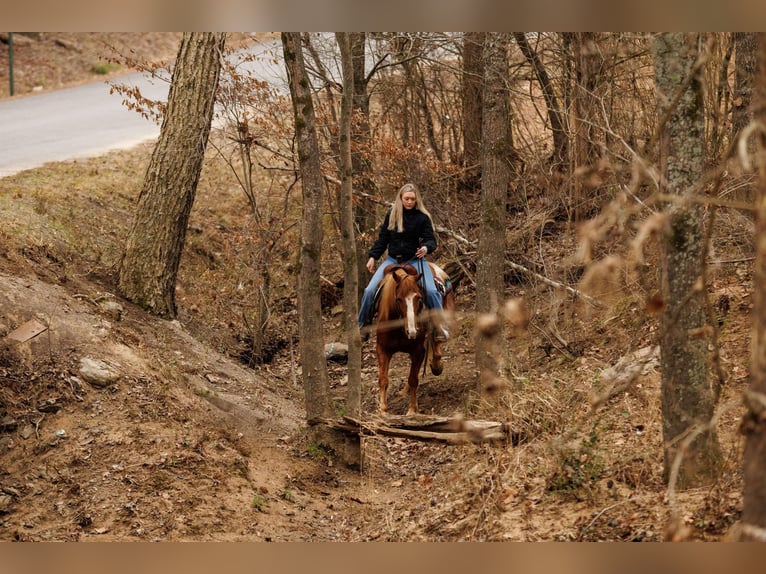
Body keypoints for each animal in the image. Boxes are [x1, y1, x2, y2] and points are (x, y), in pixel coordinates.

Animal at [376, 264, 456, 416]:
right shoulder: (382, 349)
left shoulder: (418, 351)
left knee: (436, 346)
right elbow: (383, 379)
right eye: (398, 299)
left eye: (419, 298)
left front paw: (412, 409)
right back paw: (404, 391)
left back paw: (437, 366)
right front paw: (382, 410)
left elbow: (413, 379)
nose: (412, 331)